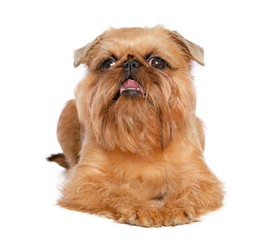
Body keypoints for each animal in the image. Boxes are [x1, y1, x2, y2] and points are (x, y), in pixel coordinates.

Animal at [48, 25, 224, 227]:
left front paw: (176, 207)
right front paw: (141, 208)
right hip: (67, 112)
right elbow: (115, 192)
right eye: (108, 63)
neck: (140, 136)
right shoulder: (85, 182)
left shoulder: (202, 180)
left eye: (157, 62)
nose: (130, 63)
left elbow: (190, 190)